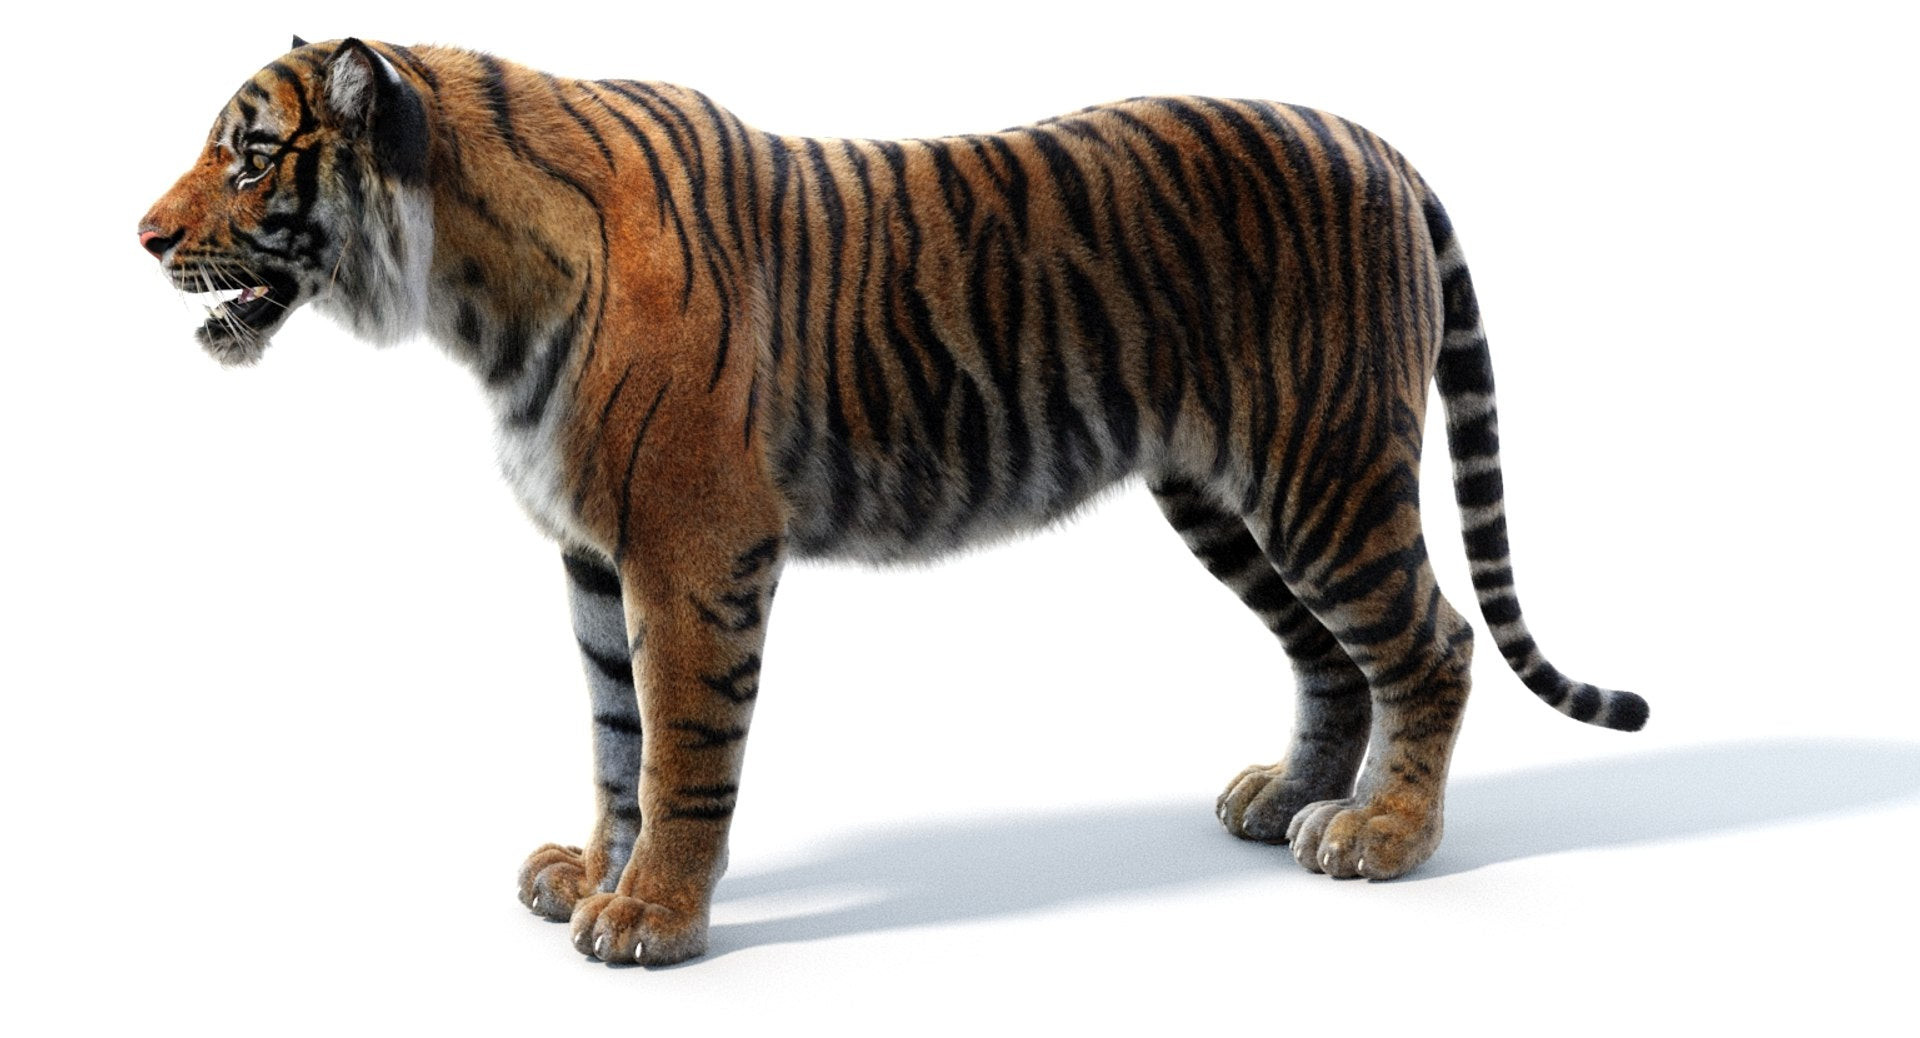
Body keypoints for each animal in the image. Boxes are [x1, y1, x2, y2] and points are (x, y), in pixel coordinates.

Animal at [139, 36, 1648, 965]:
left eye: (251, 155)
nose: (143, 237)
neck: (469, 293)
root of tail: (1375, 140)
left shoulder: (691, 550)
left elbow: (683, 748)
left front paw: (655, 916)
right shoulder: (590, 557)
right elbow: (615, 738)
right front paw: (590, 869)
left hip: (1322, 469)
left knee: (1429, 642)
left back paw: (1385, 835)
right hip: (1223, 493)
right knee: (1329, 656)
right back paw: (1286, 798)